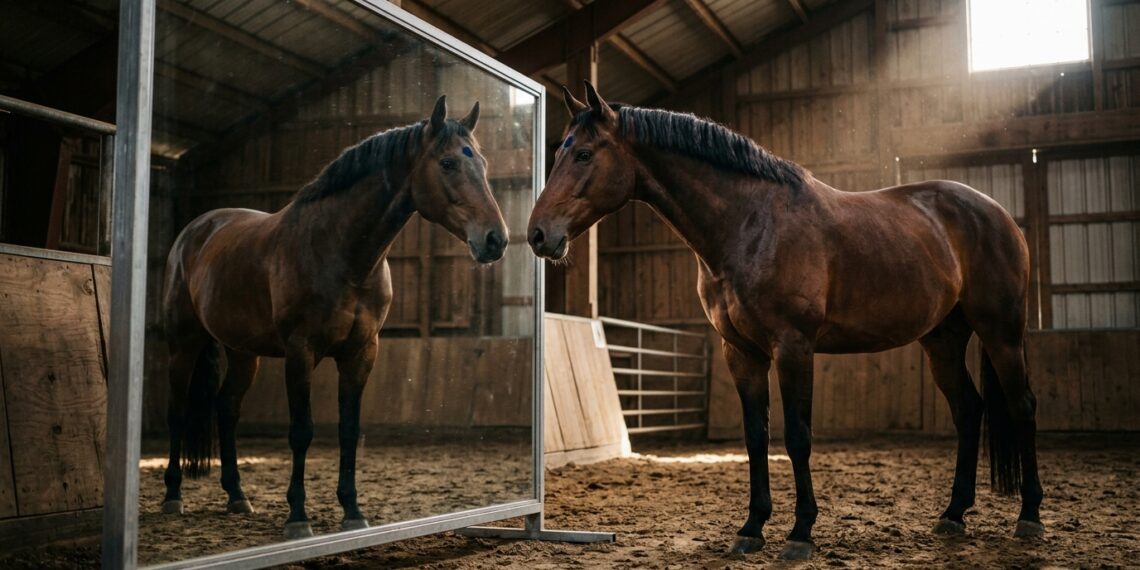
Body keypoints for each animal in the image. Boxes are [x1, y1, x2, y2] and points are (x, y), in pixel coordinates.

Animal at [161, 95, 509, 539]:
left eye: (481, 162)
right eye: (447, 163)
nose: (496, 239)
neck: (340, 252)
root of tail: (196, 230)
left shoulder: (361, 353)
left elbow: (348, 429)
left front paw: (352, 510)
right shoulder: (301, 353)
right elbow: (301, 431)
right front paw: (298, 516)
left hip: (243, 353)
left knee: (227, 409)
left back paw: (237, 496)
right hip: (183, 345)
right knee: (177, 410)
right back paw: (173, 495)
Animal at [527, 82, 1043, 560]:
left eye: (584, 153)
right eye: (559, 151)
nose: (538, 234)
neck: (750, 225)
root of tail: (998, 214)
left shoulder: (793, 346)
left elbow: (797, 436)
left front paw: (800, 533)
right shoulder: (742, 353)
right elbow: (757, 438)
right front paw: (751, 528)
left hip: (1002, 332)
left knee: (1021, 406)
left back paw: (1030, 516)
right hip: (943, 339)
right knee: (969, 410)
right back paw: (953, 515)